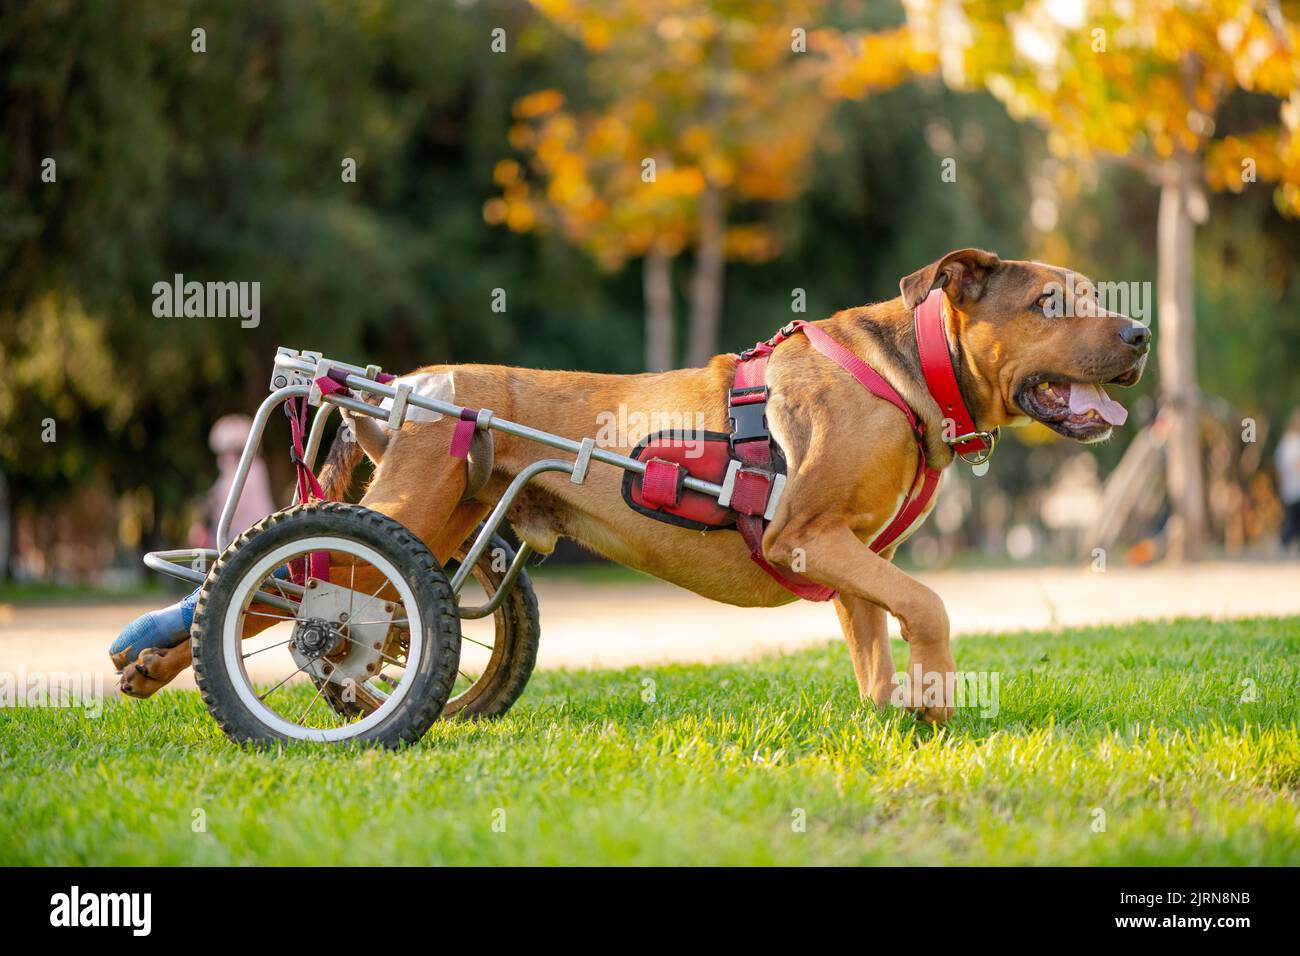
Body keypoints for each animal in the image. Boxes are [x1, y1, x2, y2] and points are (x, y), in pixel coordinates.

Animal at [119, 251, 1149, 723]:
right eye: (1050, 303)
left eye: (1096, 295)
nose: (1142, 334)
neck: (910, 369)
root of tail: (411, 386)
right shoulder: (808, 535)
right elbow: (928, 606)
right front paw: (936, 699)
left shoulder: (853, 557)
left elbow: (875, 647)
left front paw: (894, 723)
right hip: (400, 521)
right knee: (277, 588)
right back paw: (165, 650)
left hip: (440, 531)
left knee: (310, 596)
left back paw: (152, 657)